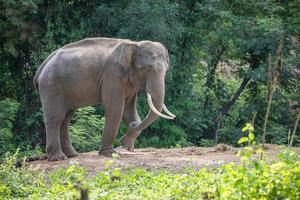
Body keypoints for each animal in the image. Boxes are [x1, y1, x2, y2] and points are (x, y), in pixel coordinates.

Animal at [33, 37, 176, 162]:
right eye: (144, 68)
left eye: (167, 69)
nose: (133, 125)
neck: (133, 44)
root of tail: (41, 67)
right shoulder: (112, 75)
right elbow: (115, 108)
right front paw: (110, 153)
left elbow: (129, 110)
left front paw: (128, 147)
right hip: (51, 86)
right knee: (56, 118)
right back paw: (58, 158)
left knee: (66, 118)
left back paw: (72, 155)